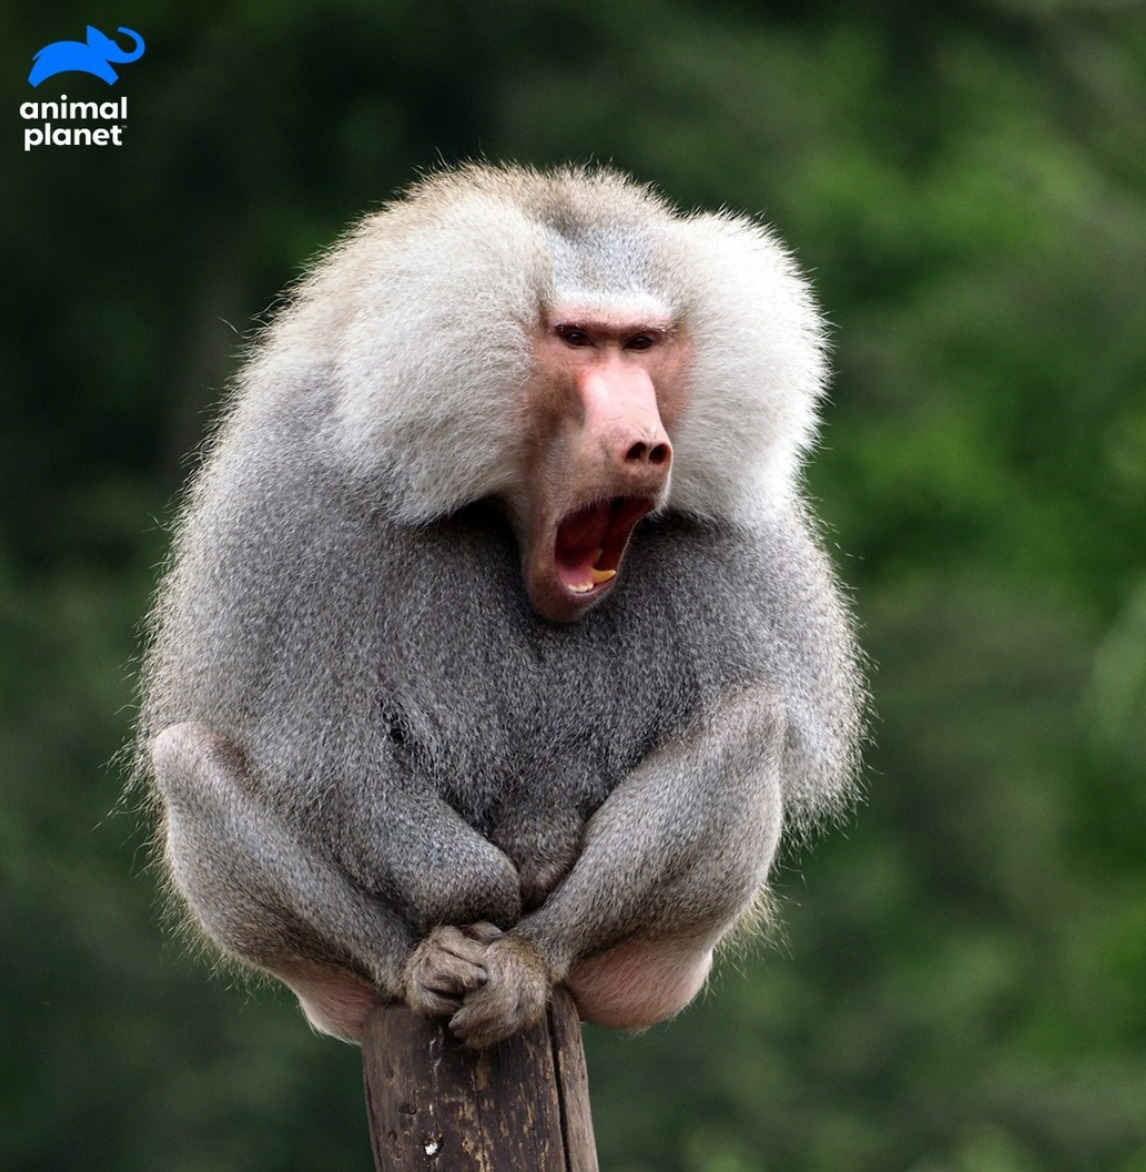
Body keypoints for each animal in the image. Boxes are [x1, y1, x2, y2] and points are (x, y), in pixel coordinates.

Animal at [138, 163, 864, 1050]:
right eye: (577, 338)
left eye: (643, 344)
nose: (645, 444)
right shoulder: (305, 507)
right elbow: (333, 763)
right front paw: (479, 893)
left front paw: (533, 891)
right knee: (187, 764)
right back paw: (422, 964)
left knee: (752, 725)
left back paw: (529, 960)